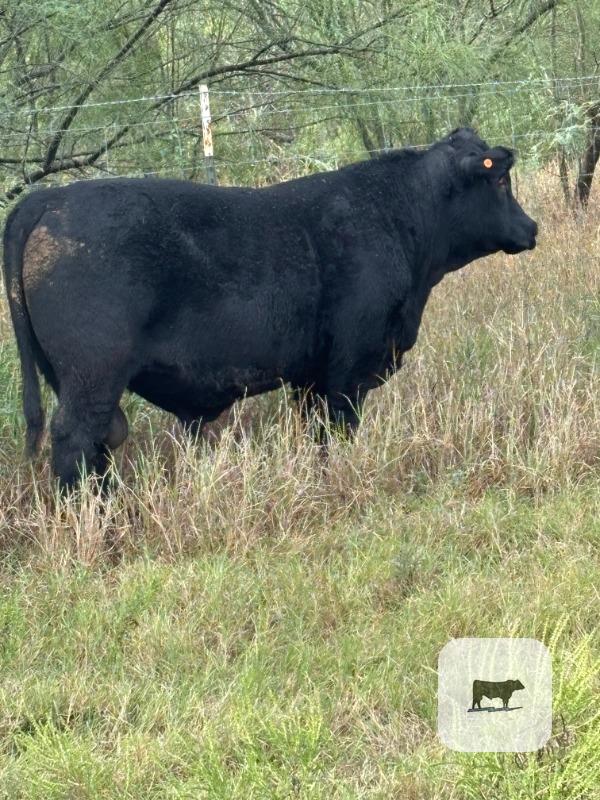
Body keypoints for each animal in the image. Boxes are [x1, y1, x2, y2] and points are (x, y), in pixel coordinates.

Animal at [2, 127, 537, 487]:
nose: (532, 227)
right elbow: (338, 430)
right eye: (501, 182)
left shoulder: (309, 375)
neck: (396, 216)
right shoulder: (348, 368)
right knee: (75, 439)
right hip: (92, 376)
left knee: (99, 441)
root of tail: (49, 198)